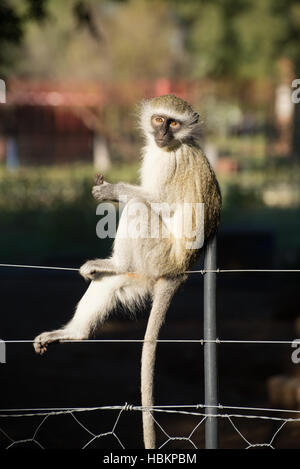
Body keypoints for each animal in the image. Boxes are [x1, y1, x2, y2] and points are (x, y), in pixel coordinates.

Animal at [34, 94, 221, 446]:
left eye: (173, 123)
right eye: (159, 120)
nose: (161, 133)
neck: (171, 147)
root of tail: (180, 270)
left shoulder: (170, 164)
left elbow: (163, 204)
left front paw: (111, 190)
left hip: (159, 255)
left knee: (138, 207)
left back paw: (114, 260)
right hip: (143, 272)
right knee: (109, 283)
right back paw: (74, 332)